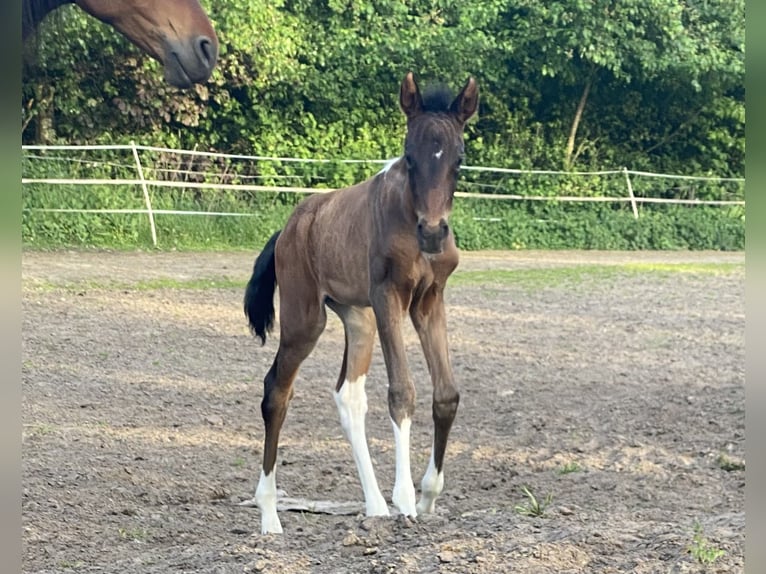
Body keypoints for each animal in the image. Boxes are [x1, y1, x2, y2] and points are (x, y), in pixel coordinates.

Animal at [244, 72, 480, 536]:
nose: (432, 232)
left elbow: (446, 394)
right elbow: (401, 391)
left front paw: (427, 496)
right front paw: (405, 499)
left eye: (459, 159)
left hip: (358, 319)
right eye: (410, 157)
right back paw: (269, 515)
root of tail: (288, 228)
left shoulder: (429, 300)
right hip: (306, 318)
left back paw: (374, 506)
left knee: (348, 395)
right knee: (276, 390)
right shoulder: (388, 296)